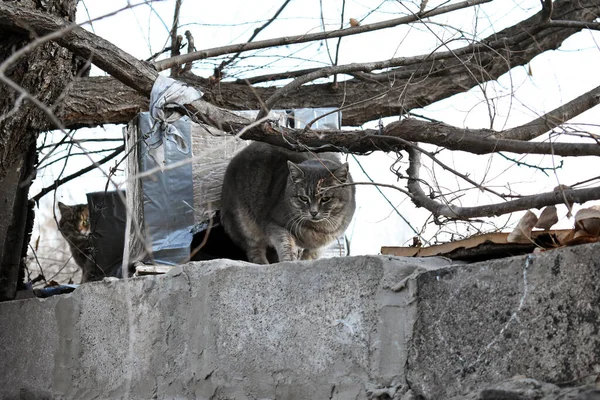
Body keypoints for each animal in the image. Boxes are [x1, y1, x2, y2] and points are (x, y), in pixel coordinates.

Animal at [221, 142, 356, 264]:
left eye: (325, 199)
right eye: (303, 198)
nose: (313, 212)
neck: (317, 230)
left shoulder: (322, 245)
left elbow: (310, 255)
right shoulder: (276, 225)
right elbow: (286, 245)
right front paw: (289, 261)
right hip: (245, 224)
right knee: (254, 250)